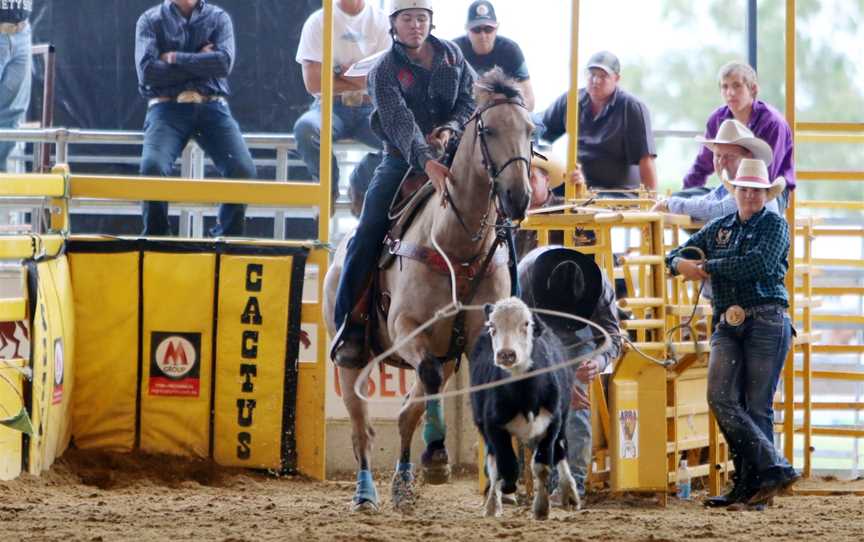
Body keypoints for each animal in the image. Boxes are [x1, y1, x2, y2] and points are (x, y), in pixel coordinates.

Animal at [324, 69, 532, 516]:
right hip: (352, 361)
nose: (518, 196)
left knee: (407, 412)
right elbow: (428, 380)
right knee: (362, 428)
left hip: (444, 352)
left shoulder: (473, 341)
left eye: (530, 130)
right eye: (489, 130)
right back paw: (366, 493)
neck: (457, 248)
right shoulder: (407, 327)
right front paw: (437, 456)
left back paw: (404, 485)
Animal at [470, 300, 584, 520]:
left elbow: (542, 465)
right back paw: (492, 505)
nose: (506, 354)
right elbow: (507, 465)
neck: (526, 395)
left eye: (525, 324)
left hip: (563, 417)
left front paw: (541, 508)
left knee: (561, 449)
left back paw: (570, 494)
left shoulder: (553, 423)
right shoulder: (493, 427)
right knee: (493, 462)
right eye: (492, 327)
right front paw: (506, 489)